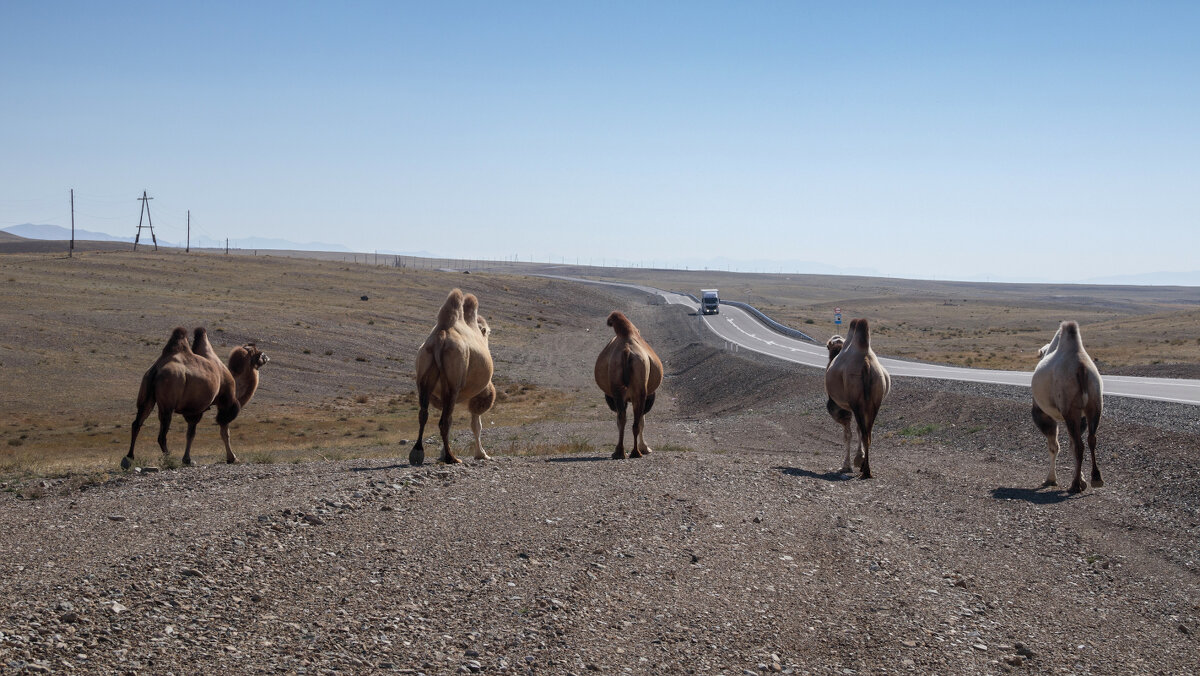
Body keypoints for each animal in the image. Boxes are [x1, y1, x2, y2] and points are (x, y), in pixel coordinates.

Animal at [123, 328, 268, 470]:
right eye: (259, 353)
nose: (266, 356)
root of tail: (157, 370)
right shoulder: (225, 403)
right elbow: (224, 431)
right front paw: (232, 458)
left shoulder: (194, 410)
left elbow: (190, 434)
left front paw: (187, 459)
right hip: (168, 402)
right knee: (161, 435)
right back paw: (169, 459)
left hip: (146, 393)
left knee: (137, 423)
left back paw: (129, 458)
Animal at [408, 288, 492, 468]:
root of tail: (440, 338)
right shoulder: (477, 394)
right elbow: (477, 424)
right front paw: (482, 454)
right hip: (454, 382)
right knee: (445, 421)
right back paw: (451, 457)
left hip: (424, 373)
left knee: (424, 414)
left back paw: (417, 453)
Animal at [592, 312, 667, 461]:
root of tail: (626, 351)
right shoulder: (649, 395)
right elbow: (643, 420)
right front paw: (646, 448)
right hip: (638, 389)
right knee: (634, 421)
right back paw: (633, 452)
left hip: (620, 388)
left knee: (624, 419)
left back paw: (622, 452)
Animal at [825, 319, 892, 477]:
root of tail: (866, 363)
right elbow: (857, 431)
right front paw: (857, 459)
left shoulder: (840, 408)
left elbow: (847, 435)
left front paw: (846, 465)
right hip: (874, 402)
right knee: (867, 433)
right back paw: (866, 469)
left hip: (856, 401)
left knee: (864, 431)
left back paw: (864, 469)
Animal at [1032, 319, 1104, 494]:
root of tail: (1082, 368)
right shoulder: (1081, 417)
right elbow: (1071, 444)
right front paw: (1083, 479)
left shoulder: (1043, 414)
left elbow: (1054, 446)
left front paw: (1050, 479)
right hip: (1094, 405)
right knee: (1091, 440)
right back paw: (1095, 478)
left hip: (1070, 408)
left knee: (1079, 445)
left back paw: (1075, 485)